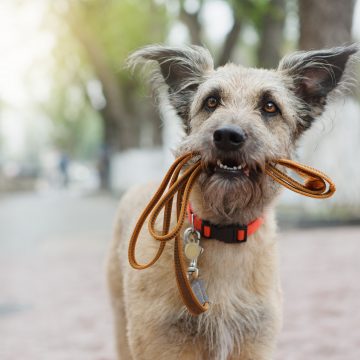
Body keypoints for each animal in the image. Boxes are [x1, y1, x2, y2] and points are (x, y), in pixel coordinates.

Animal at [107, 43, 358, 358]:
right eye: (212, 102)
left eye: (270, 106)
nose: (227, 135)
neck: (224, 231)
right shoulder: (162, 342)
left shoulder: (252, 342)